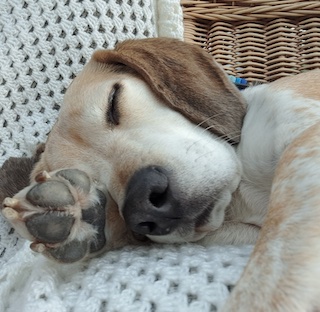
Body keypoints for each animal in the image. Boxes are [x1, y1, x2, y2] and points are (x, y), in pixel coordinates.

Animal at [0, 37, 320, 310]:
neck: (242, 197)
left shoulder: (304, 145)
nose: (143, 204)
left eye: (113, 101)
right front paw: (81, 214)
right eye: (98, 182)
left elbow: (267, 273)